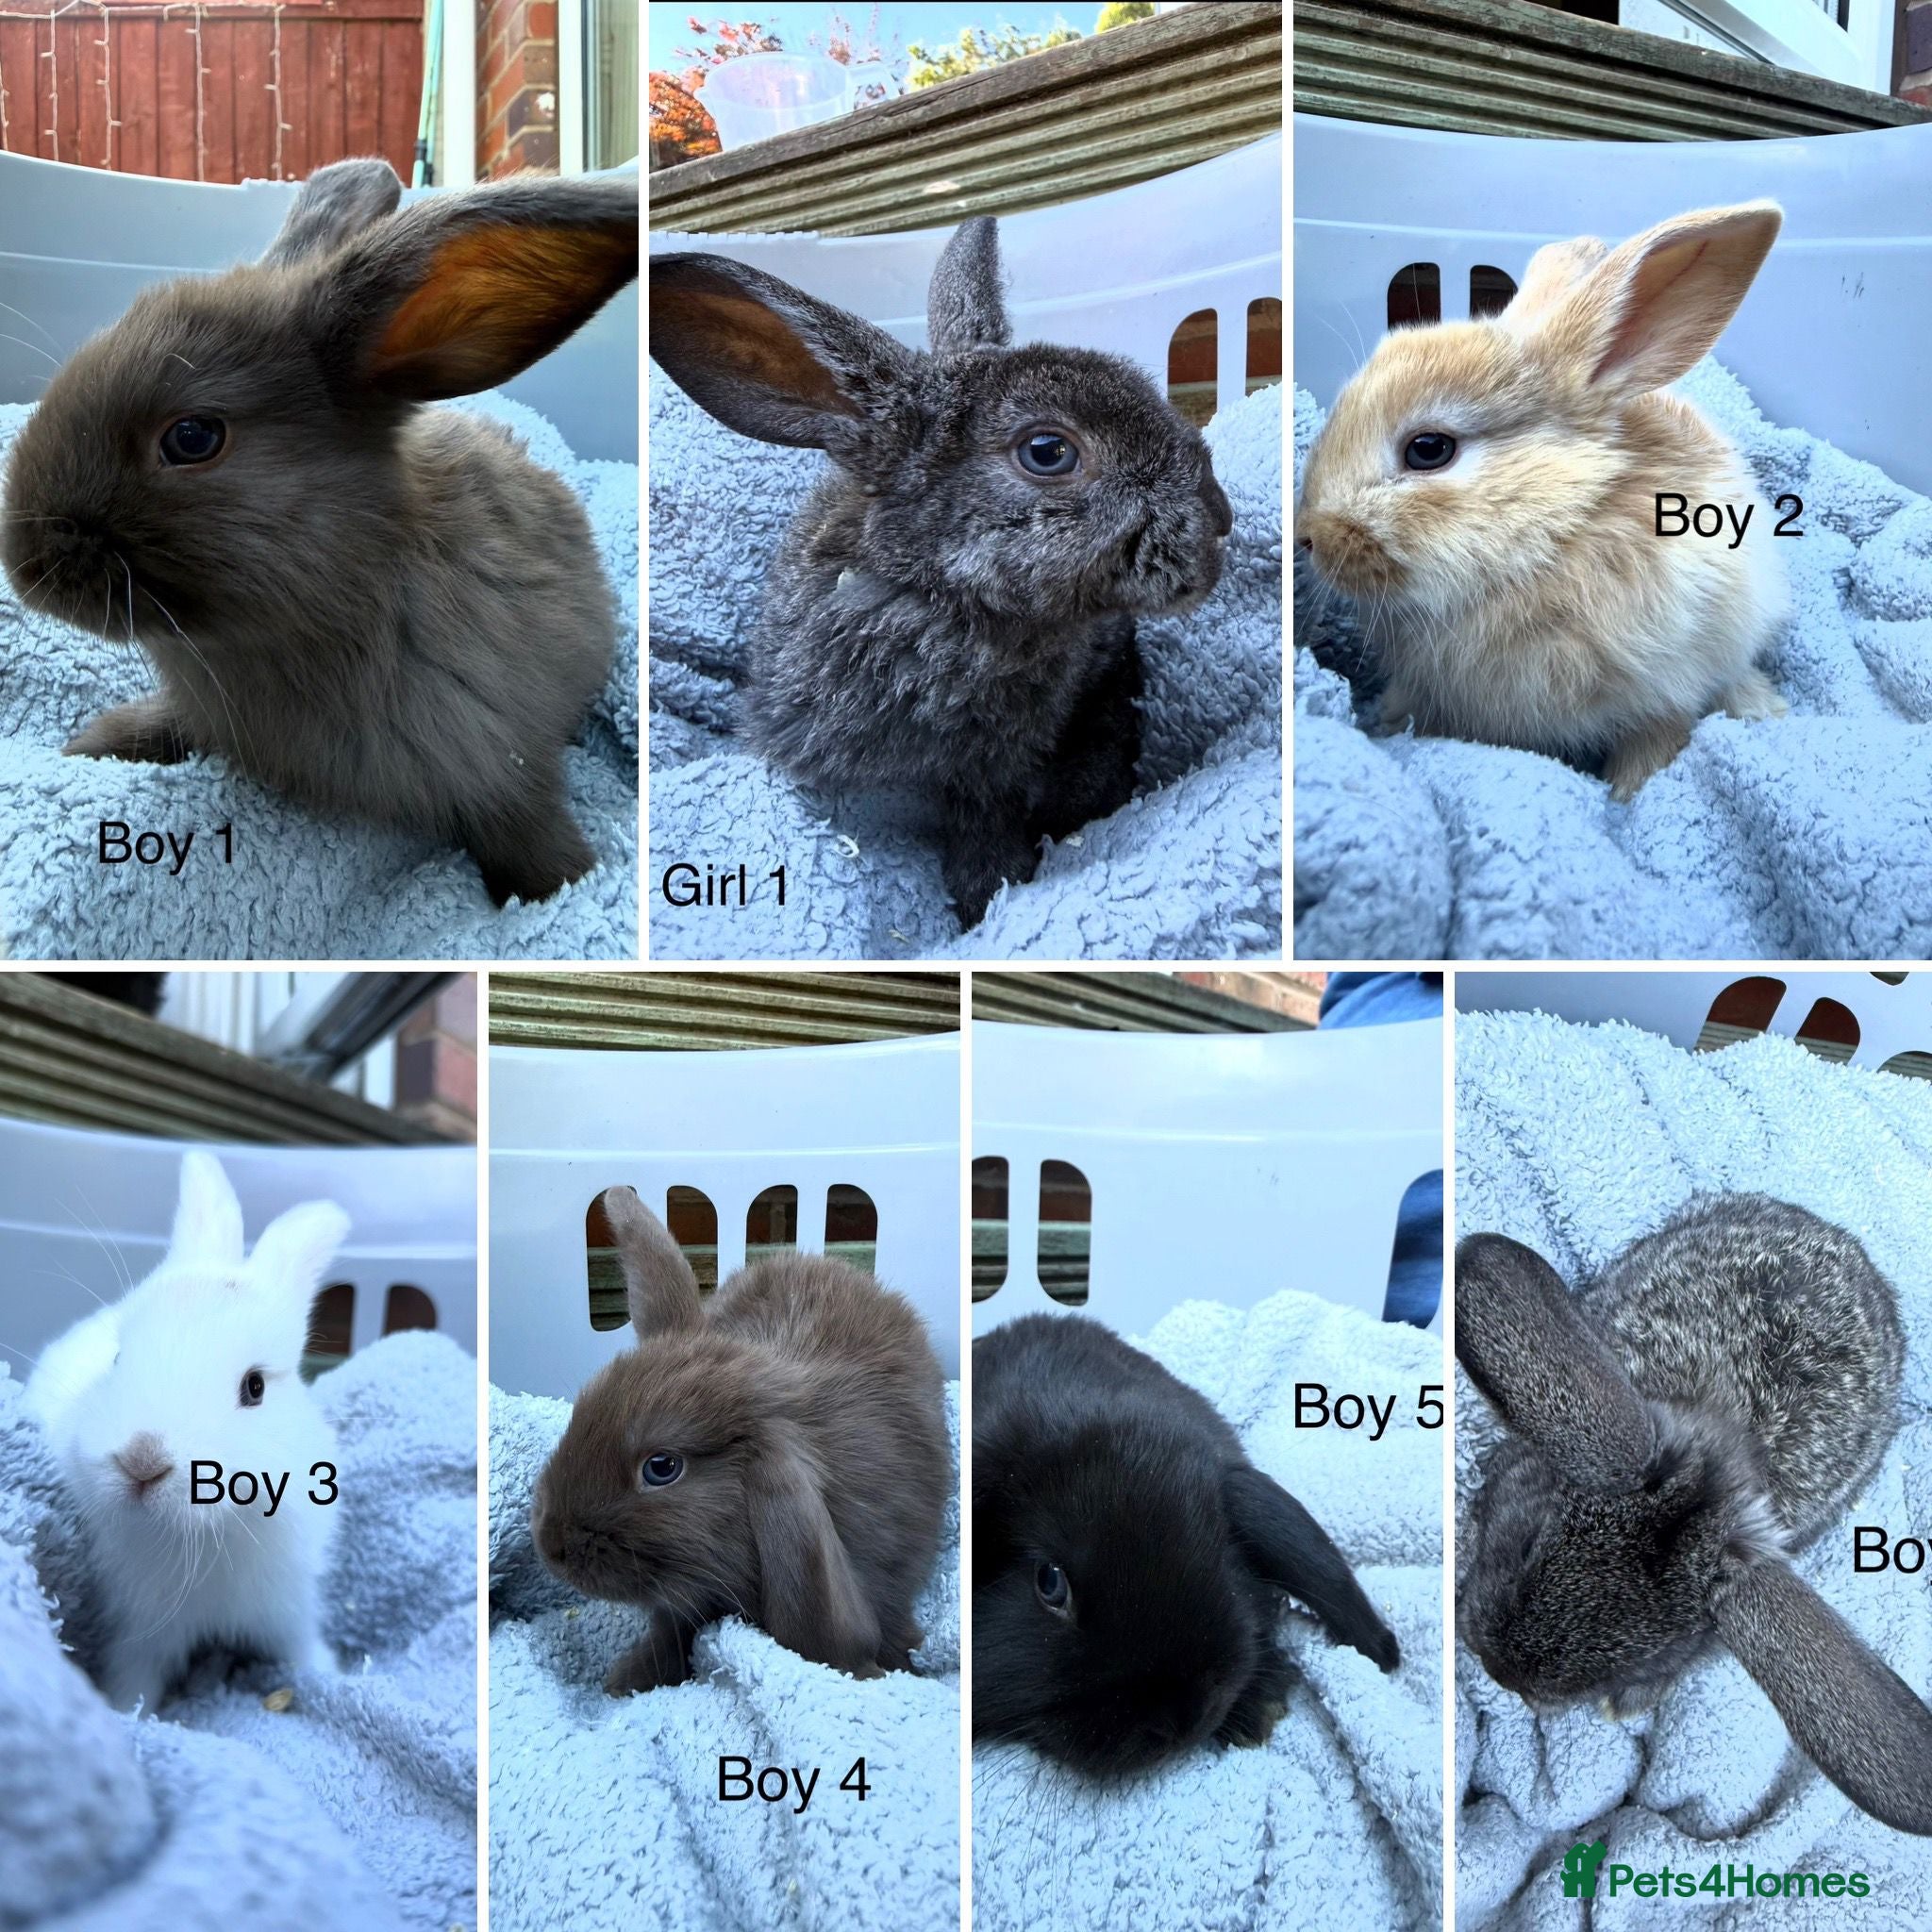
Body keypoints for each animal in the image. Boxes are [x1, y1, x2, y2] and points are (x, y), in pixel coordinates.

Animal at [0, 157, 637, 906]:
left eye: (192, 438)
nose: (24, 565)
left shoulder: (505, 766)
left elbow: (526, 829)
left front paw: (561, 888)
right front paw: (95, 743)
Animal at [21, 1151, 349, 1713]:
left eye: (255, 1387)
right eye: (117, 1358)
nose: (141, 1461)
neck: (214, 1534)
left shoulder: (288, 1607)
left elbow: (303, 1650)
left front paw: (332, 1676)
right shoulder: (140, 1629)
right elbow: (135, 1680)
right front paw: (125, 1712)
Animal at [1296, 202, 1790, 800]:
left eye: (1429, 450)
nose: (1306, 535)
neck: (1552, 540)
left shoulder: (1668, 687)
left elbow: (1656, 739)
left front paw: (1626, 796)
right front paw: (1386, 723)